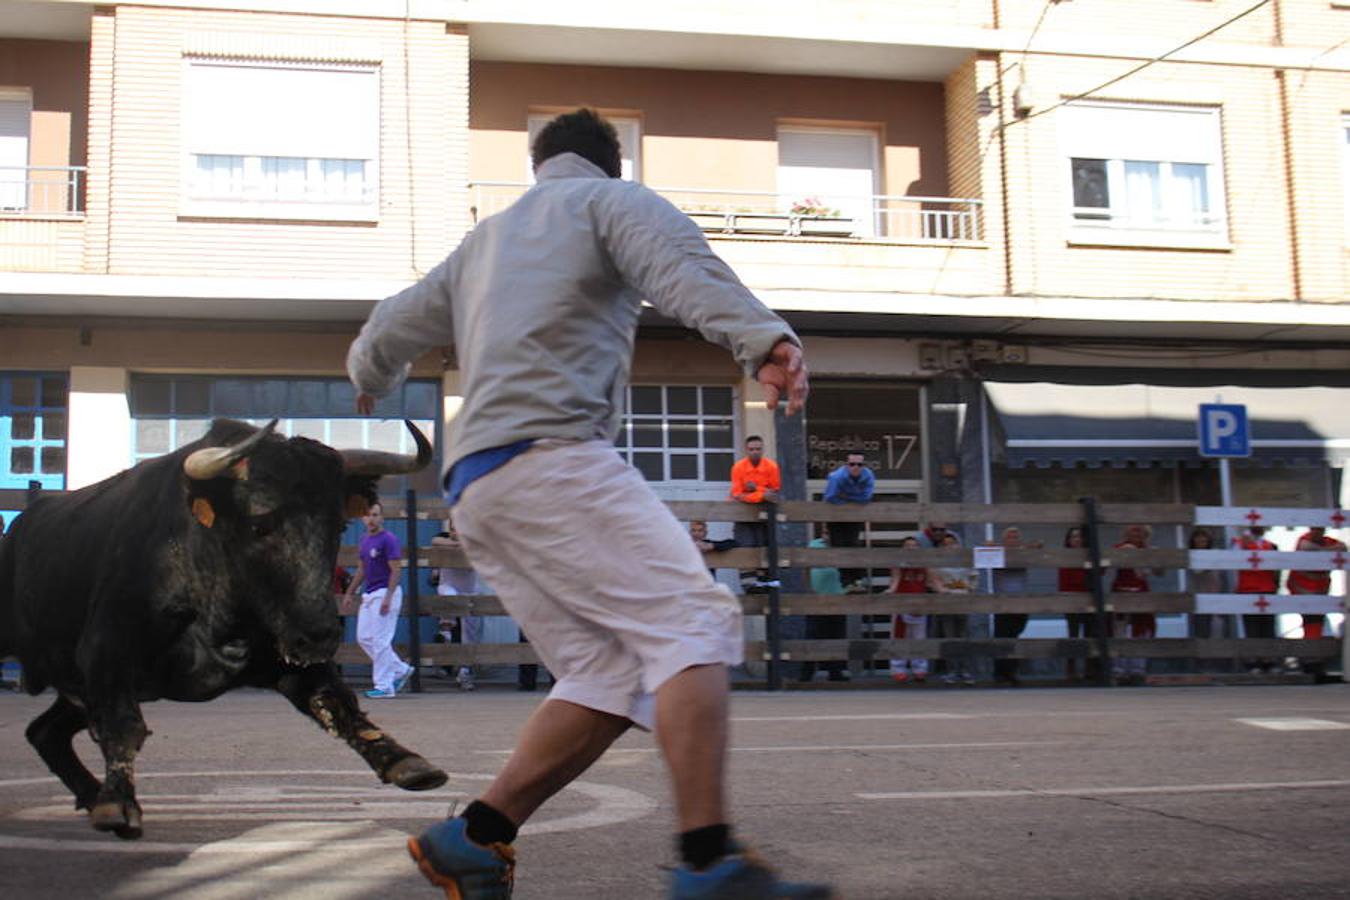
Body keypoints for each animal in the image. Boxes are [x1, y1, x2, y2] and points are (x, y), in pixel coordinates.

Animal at [0, 418, 450, 841]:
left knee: (44, 733)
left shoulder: (285, 654)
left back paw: (90, 794)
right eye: (259, 525)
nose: (321, 633)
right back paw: (98, 797)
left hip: (76, 689)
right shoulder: (106, 649)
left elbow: (336, 702)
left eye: (339, 526)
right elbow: (123, 723)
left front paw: (406, 762)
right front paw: (119, 804)